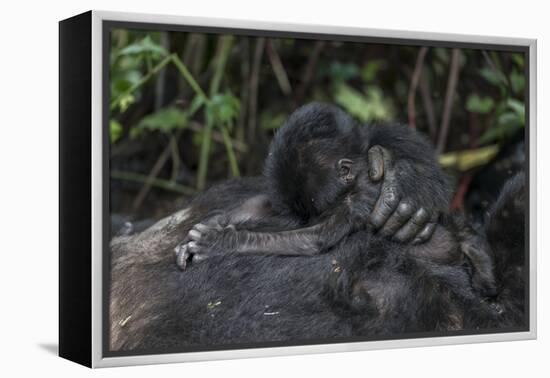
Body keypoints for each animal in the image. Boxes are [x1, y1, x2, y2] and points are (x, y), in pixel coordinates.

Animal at [177, 103, 452, 268]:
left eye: (314, 212)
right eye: (305, 213)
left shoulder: (358, 198)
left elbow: (315, 237)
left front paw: (222, 242)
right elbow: (268, 205)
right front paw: (213, 223)